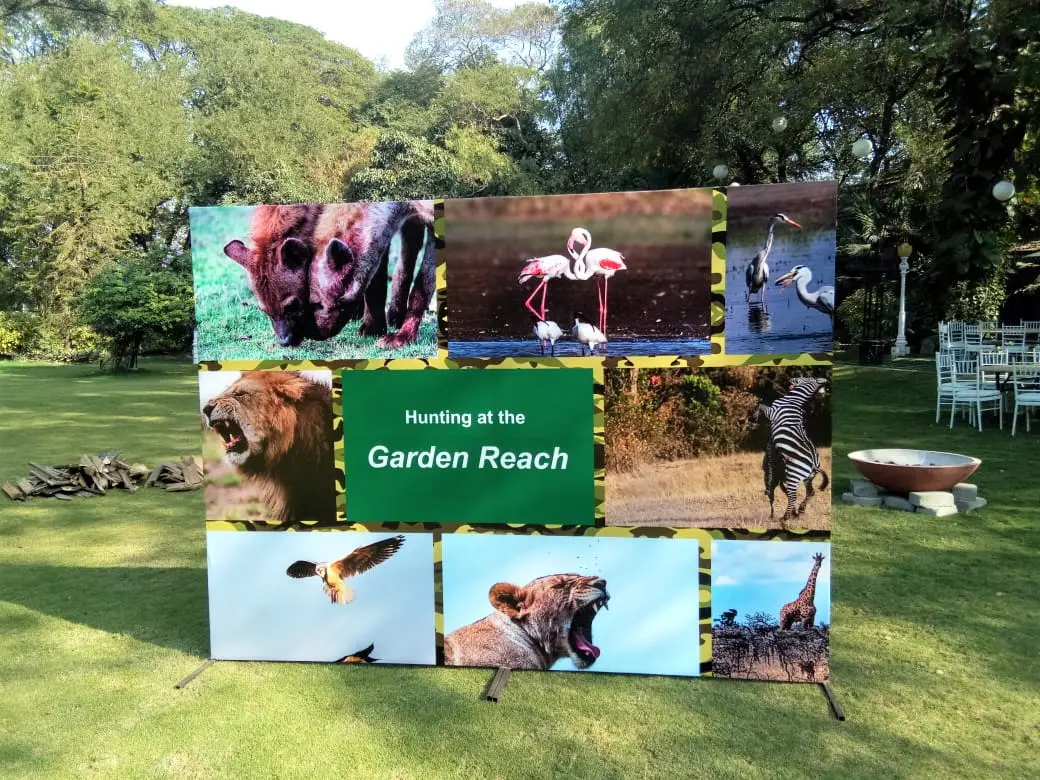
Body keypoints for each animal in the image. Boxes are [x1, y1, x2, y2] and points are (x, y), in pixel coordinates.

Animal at [757, 376, 827, 522]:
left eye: (804, 378)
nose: (790, 379)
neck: (795, 398)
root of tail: (814, 464)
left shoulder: (772, 412)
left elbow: (760, 405)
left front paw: (754, 416)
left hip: (794, 475)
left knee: (792, 495)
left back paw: (785, 517)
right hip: (807, 477)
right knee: (810, 492)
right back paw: (799, 510)